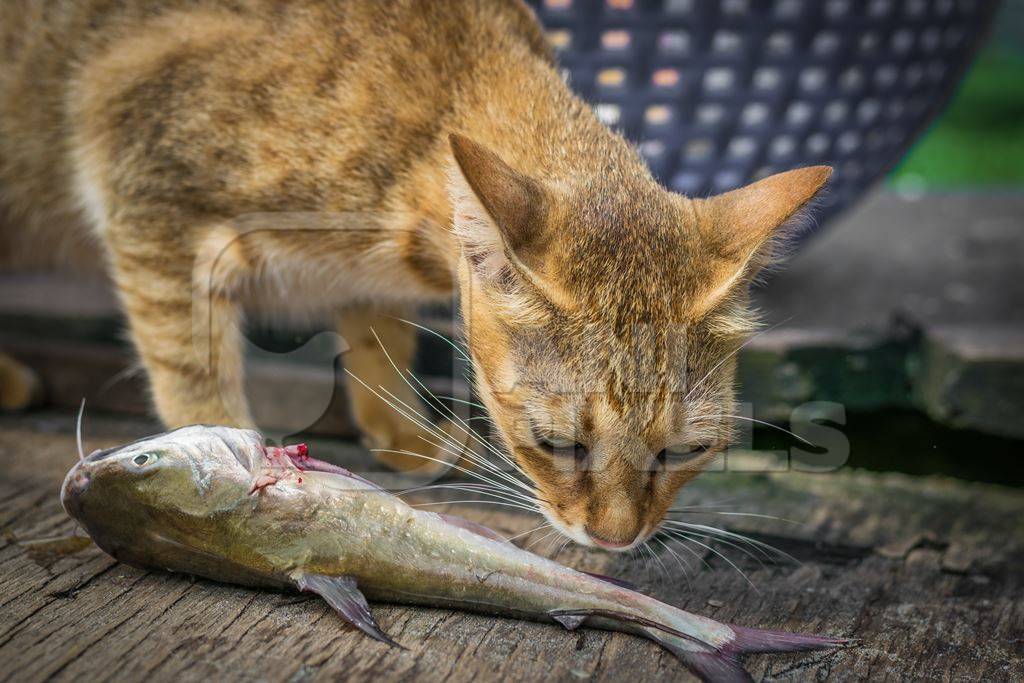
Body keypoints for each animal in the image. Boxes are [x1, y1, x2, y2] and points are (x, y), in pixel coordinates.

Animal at [0, 1, 827, 548]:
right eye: (556, 442)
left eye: (684, 451)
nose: (618, 541)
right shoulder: (144, 182)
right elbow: (193, 369)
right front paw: (224, 460)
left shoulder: (371, 283)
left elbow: (378, 342)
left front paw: (400, 432)